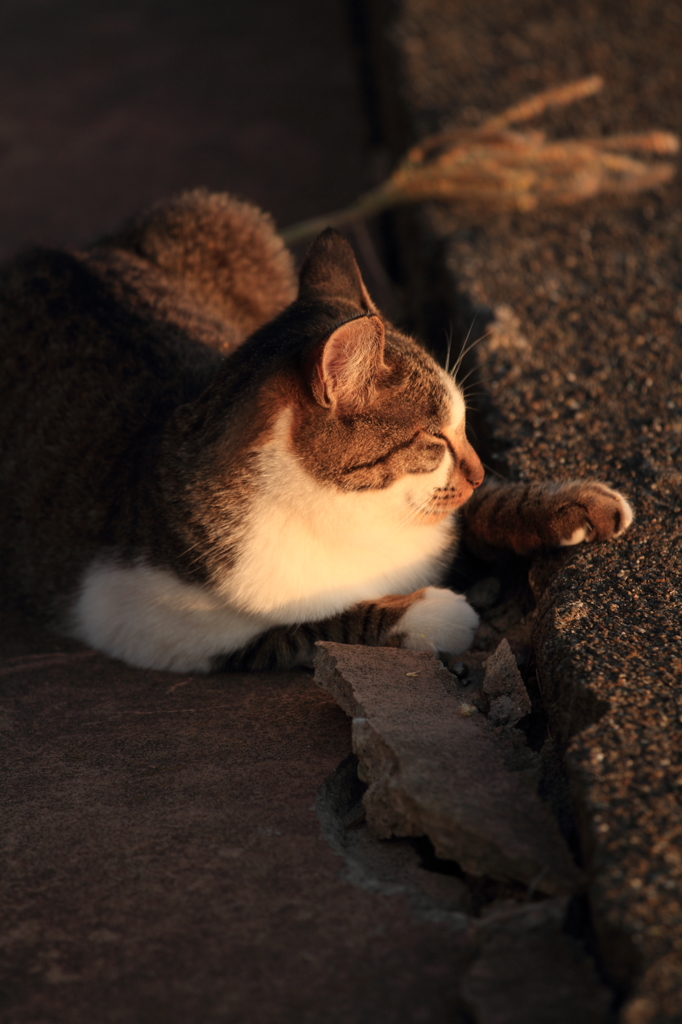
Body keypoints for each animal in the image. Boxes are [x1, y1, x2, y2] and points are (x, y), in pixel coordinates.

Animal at [0, 190, 630, 671]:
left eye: (464, 429)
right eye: (434, 441)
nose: (476, 470)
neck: (347, 508)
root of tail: (55, 252)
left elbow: (478, 511)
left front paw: (570, 507)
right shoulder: (146, 618)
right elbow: (306, 626)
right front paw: (433, 612)